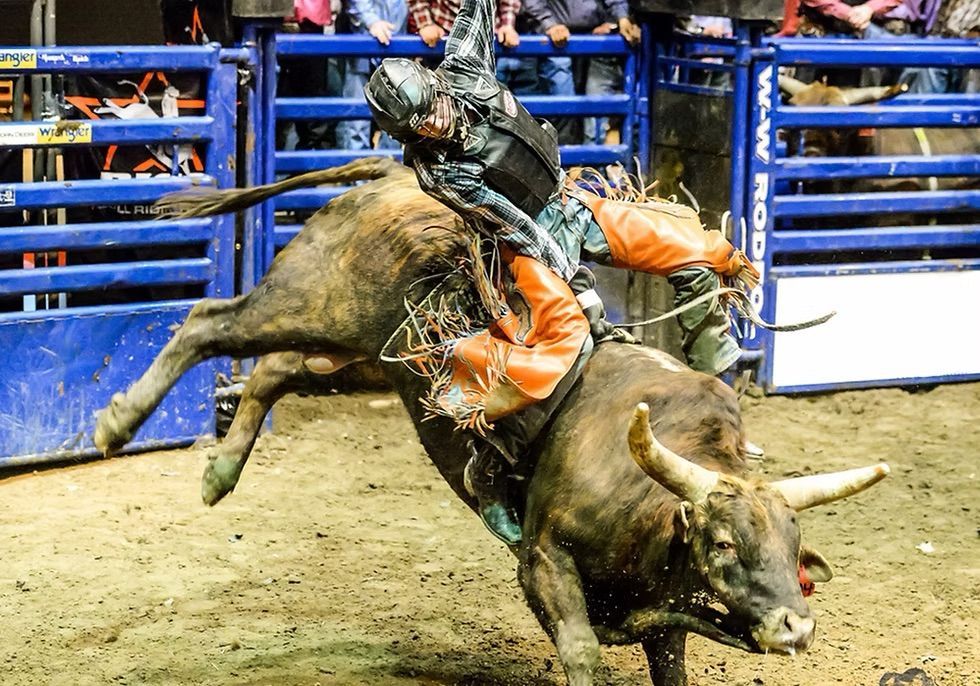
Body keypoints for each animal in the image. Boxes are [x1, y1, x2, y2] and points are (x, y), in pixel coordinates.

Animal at [92, 160, 888, 686]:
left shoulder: (665, 622)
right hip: (312, 300)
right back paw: (116, 424)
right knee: (211, 322)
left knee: (273, 372)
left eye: (795, 546)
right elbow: (581, 652)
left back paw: (218, 475)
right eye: (722, 542)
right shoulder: (544, 566)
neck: (650, 505)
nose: (796, 626)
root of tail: (394, 176)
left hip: (370, 357)